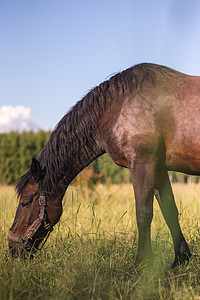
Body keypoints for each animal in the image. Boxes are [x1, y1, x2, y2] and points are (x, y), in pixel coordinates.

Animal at [7, 63, 195, 268]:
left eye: (25, 202)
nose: (12, 248)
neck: (117, 108)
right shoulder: (158, 167)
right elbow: (170, 210)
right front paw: (181, 259)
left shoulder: (143, 163)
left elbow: (143, 214)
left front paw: (141, 263)